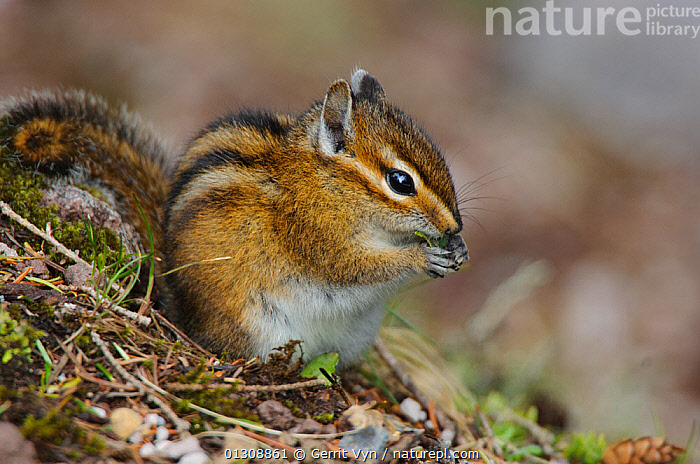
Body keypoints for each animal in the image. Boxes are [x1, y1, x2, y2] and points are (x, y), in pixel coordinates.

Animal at [1, 70, 468, 364]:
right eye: (400, 181)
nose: (454, 226)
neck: (325, 183)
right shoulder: (314, 233)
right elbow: (351, 266)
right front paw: (421, 256)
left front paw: (457, 249)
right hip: (254, 324)